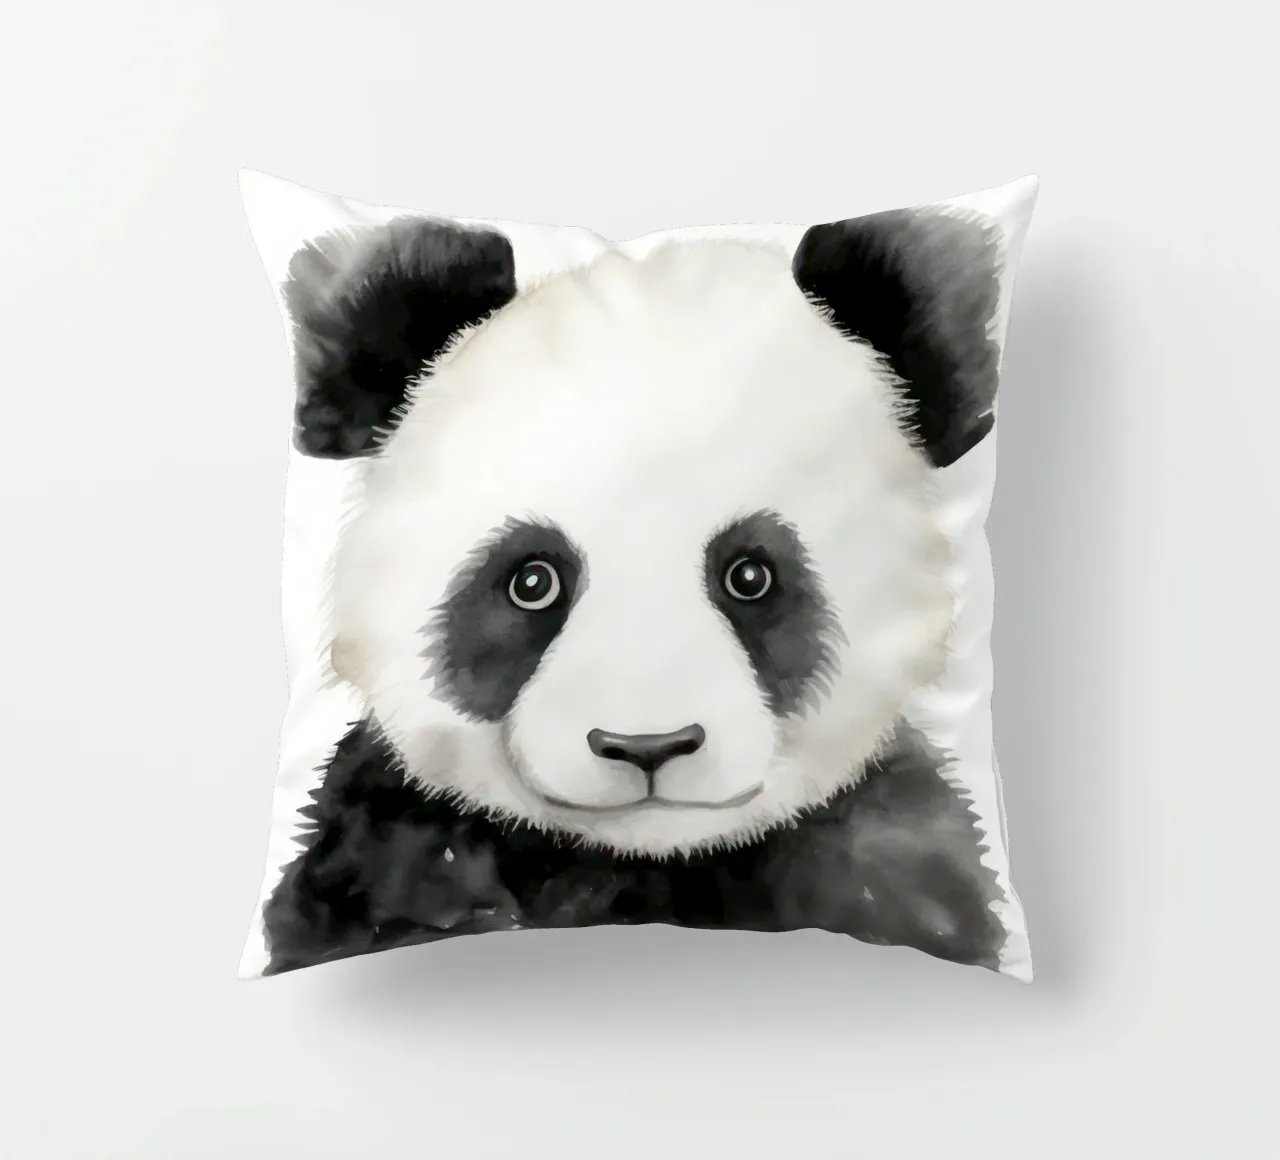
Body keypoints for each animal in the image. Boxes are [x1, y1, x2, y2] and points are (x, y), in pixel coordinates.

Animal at [261, 205, 1009, 976]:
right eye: (533, 581)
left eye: (750, 576)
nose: (647, 746)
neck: (640, 865)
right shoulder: (384, 848)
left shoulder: (888, 851)